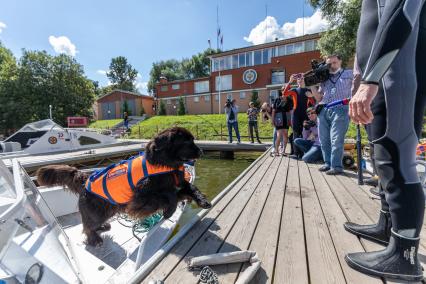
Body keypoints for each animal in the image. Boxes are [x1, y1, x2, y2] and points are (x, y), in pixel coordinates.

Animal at [37, 127, 213, 246]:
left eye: (193, 140)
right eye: (186, 142)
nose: (202, 151)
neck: (165, 165)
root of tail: (85, 179)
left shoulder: (180, 182)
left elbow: (190, 189)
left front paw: (203, 201)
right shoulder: (140, 200)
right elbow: (168, 195)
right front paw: (169, 211)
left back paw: (103, 227)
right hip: (96, 213)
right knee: (87, 226)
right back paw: (95, 239)